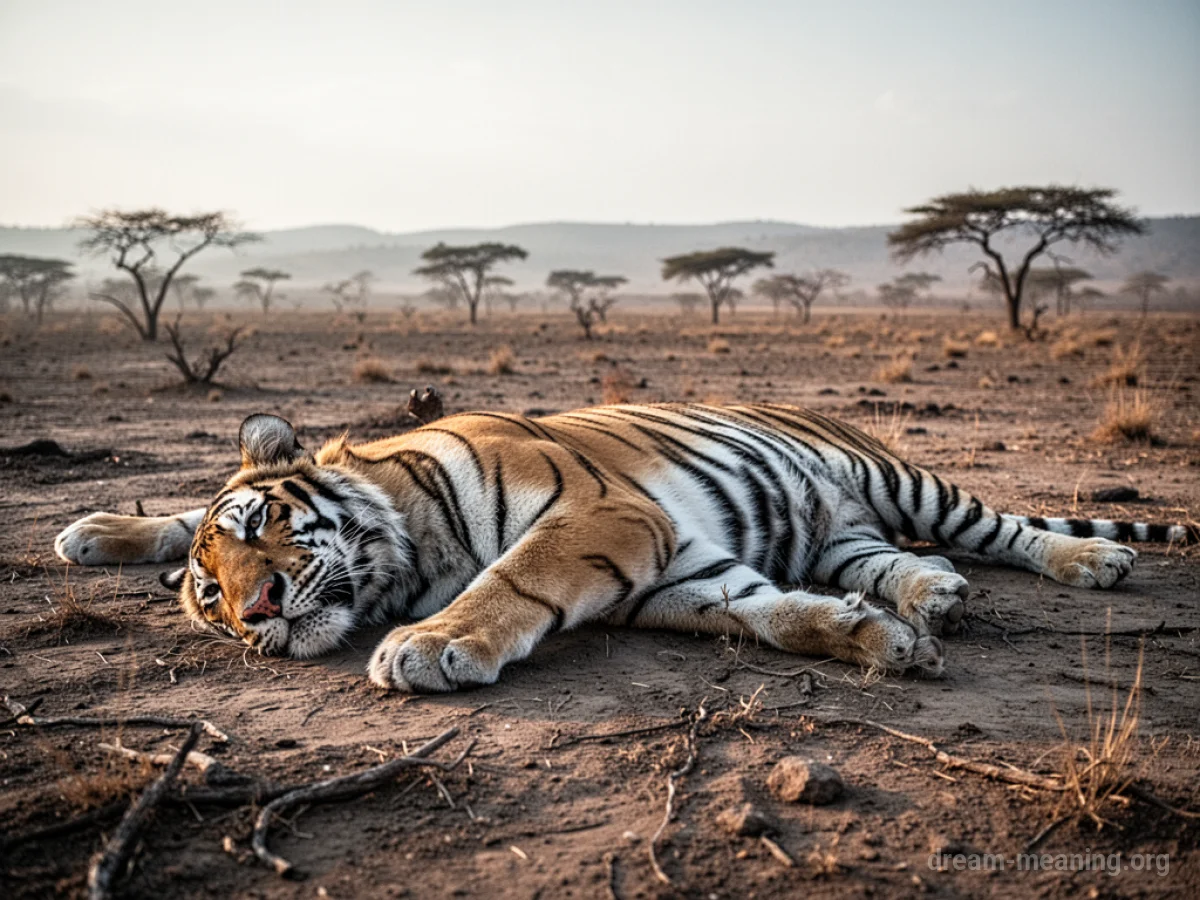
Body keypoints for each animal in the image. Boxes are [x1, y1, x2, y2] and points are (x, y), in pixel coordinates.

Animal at [53, 403, 1193, 693]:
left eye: (265, 531)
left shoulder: (607, 521)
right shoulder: (679, 571)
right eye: (210, 595)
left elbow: (513, 579)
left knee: (1007, 527)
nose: (257, 614)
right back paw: (928, 598)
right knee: (887, 561)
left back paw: (1093, 563)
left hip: (905, 481)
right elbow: (770, 613)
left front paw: (426, 646)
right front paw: (877, 644)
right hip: (839, 532)